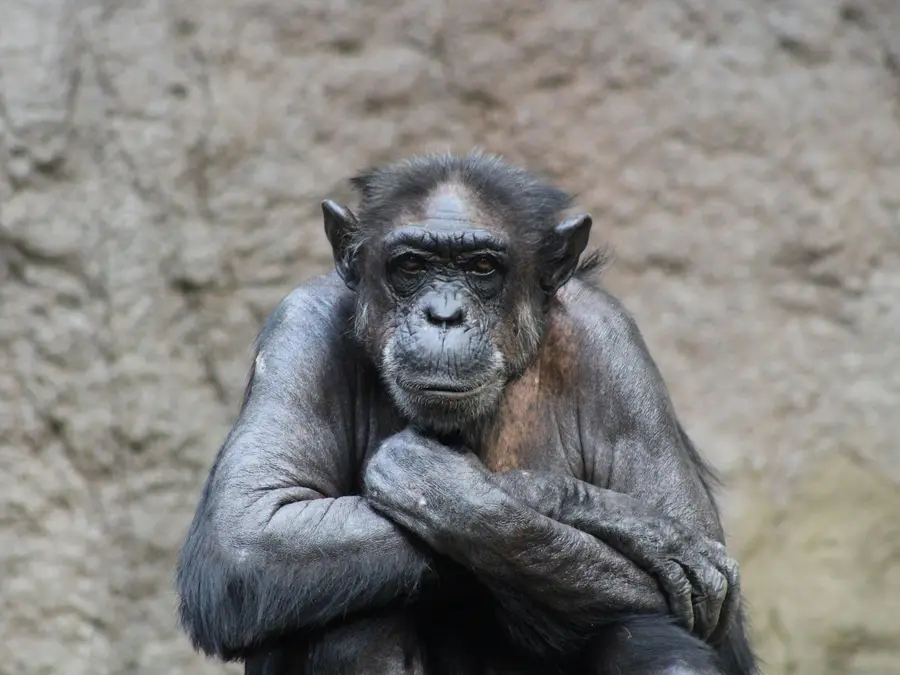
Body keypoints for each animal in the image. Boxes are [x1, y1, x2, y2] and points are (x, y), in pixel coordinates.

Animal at [176, 152, 759, 675]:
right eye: (412, 264)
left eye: (482, 267)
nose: (444, 315)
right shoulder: (299, 328)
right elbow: (248, 533)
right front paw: (637, 525)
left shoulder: (613, 347)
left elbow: (704, 588)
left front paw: (444, 484)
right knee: (348, 622)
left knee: (654, 637)